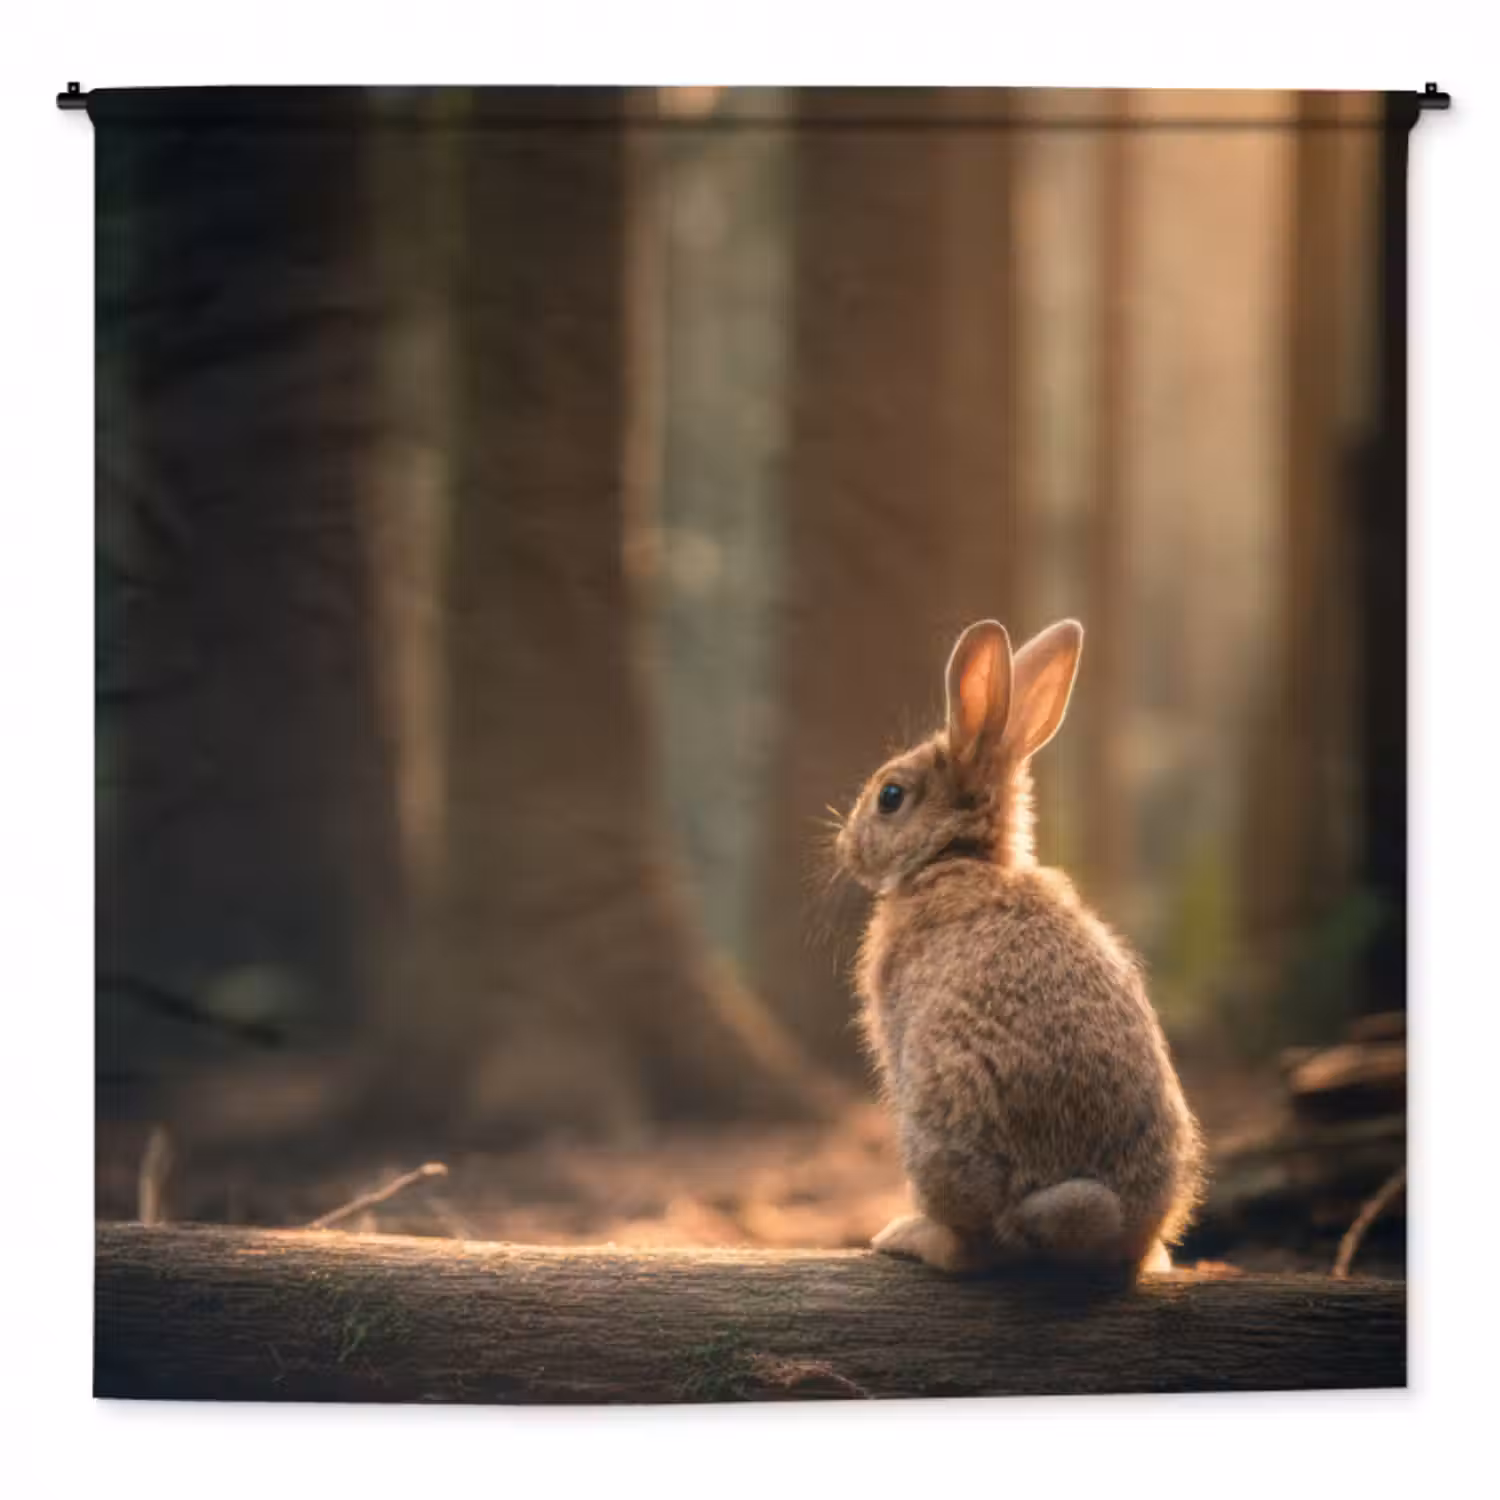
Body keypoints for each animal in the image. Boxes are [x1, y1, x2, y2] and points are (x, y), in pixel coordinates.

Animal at [835, 618, 1204, 1279]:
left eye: (890, 796)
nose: (845, 848)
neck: (958, 857)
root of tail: (1094, 1222)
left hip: (936, 1133)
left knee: (974, 1247)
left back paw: (907, 1235)